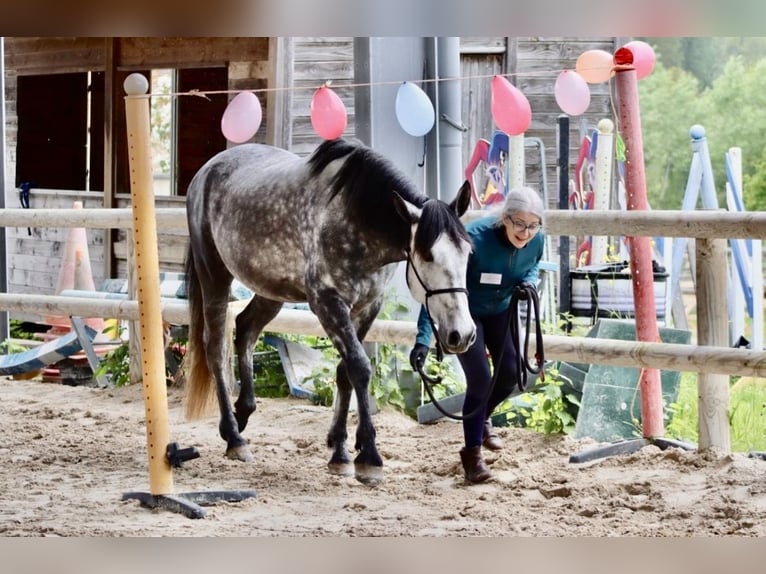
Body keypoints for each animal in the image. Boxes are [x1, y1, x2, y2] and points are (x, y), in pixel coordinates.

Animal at [183, 138, 476, 485]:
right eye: (428, 255)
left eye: (468, 251)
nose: (462, 334)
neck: (355, 215)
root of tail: (206, 171)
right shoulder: (327, 302)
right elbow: (360, 368)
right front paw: (368, 457)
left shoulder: (367, 306)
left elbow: (344, 371)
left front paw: (340, 450)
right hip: (213, 274)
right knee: (215, 346)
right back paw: (234, 437)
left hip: (272, 290)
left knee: (246, 329)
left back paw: (243, 412)